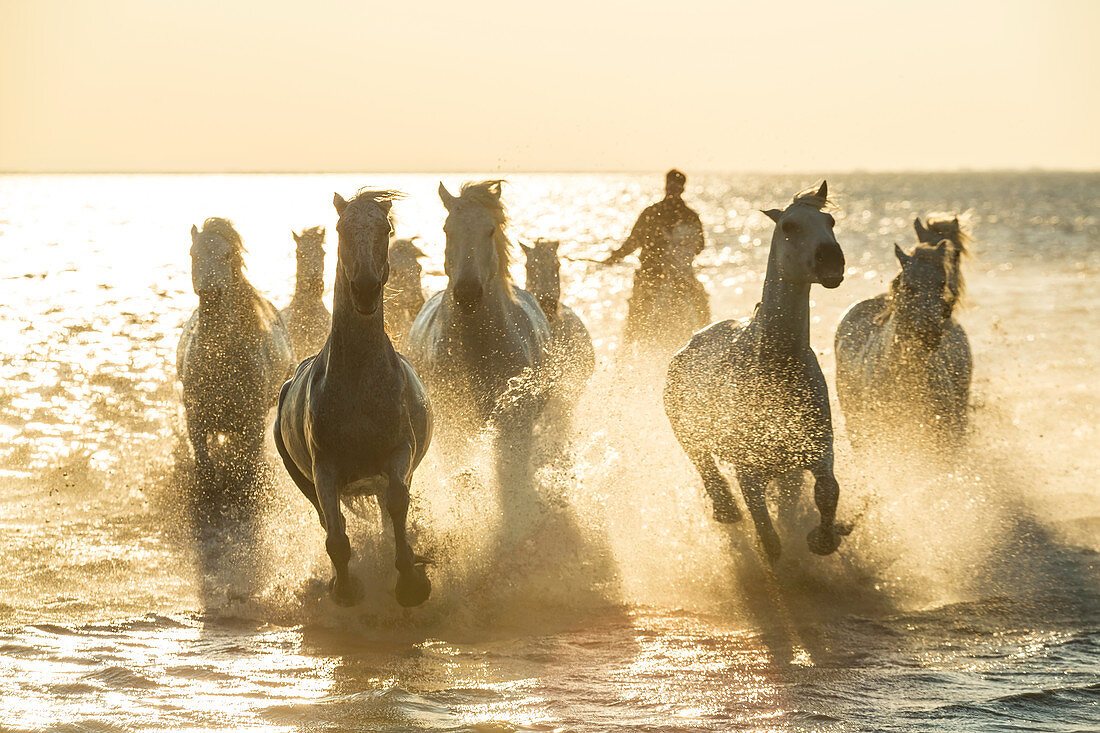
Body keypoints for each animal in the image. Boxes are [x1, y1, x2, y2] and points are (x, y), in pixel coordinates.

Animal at [173, 215, 292, 501]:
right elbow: (205, 465)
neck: (221, 361)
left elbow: (246, 468)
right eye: (193, 253)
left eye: (227, 255)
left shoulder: (253, 421)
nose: (210, 294)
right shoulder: (196, 418)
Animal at [660, 182, 849, 559]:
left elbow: (827, 491)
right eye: (789, 226)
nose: (832, 259)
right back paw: (725, 509)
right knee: (706, 468)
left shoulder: (817, 451)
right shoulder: (748, 471)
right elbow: (768, 536)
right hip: (688, 435)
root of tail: (689, 342)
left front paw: (823, 539)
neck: (776, 369)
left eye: (830, 221)